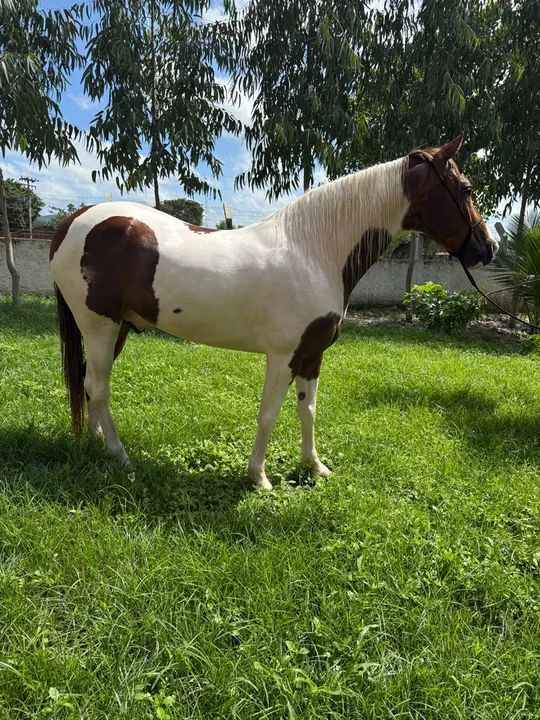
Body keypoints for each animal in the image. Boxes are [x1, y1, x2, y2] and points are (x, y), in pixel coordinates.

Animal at [49, 132, 497, 489]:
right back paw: (119, 454)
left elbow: (307, 410)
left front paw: (315, 467)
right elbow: (268, 414)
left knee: (89, 383)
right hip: (100, 327)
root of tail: (75, 219)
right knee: (99, 387)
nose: (488, 248)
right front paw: (259, 478)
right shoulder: (282, 356)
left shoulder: (311, 356)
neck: (313, 251)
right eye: (466, 188)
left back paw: (98, 444)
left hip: (117, 328)